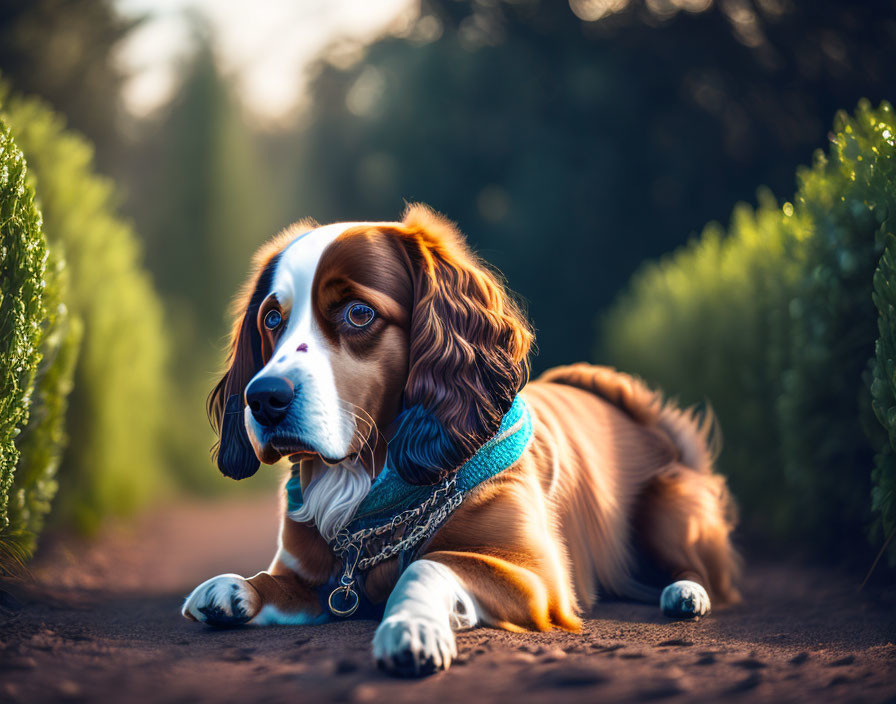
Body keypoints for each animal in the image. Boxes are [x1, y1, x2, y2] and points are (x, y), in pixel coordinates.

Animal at [182, 204, 744, 676]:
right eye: (272, 319)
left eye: (358, 313)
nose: (263, 398)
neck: (368, 486)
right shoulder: (310, 577)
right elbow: (273, 581)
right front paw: (235, 588)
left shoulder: (536, 577)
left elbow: (427, 565)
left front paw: (409, 626)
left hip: (664, 502)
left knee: (702, 571)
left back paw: (684, 593)